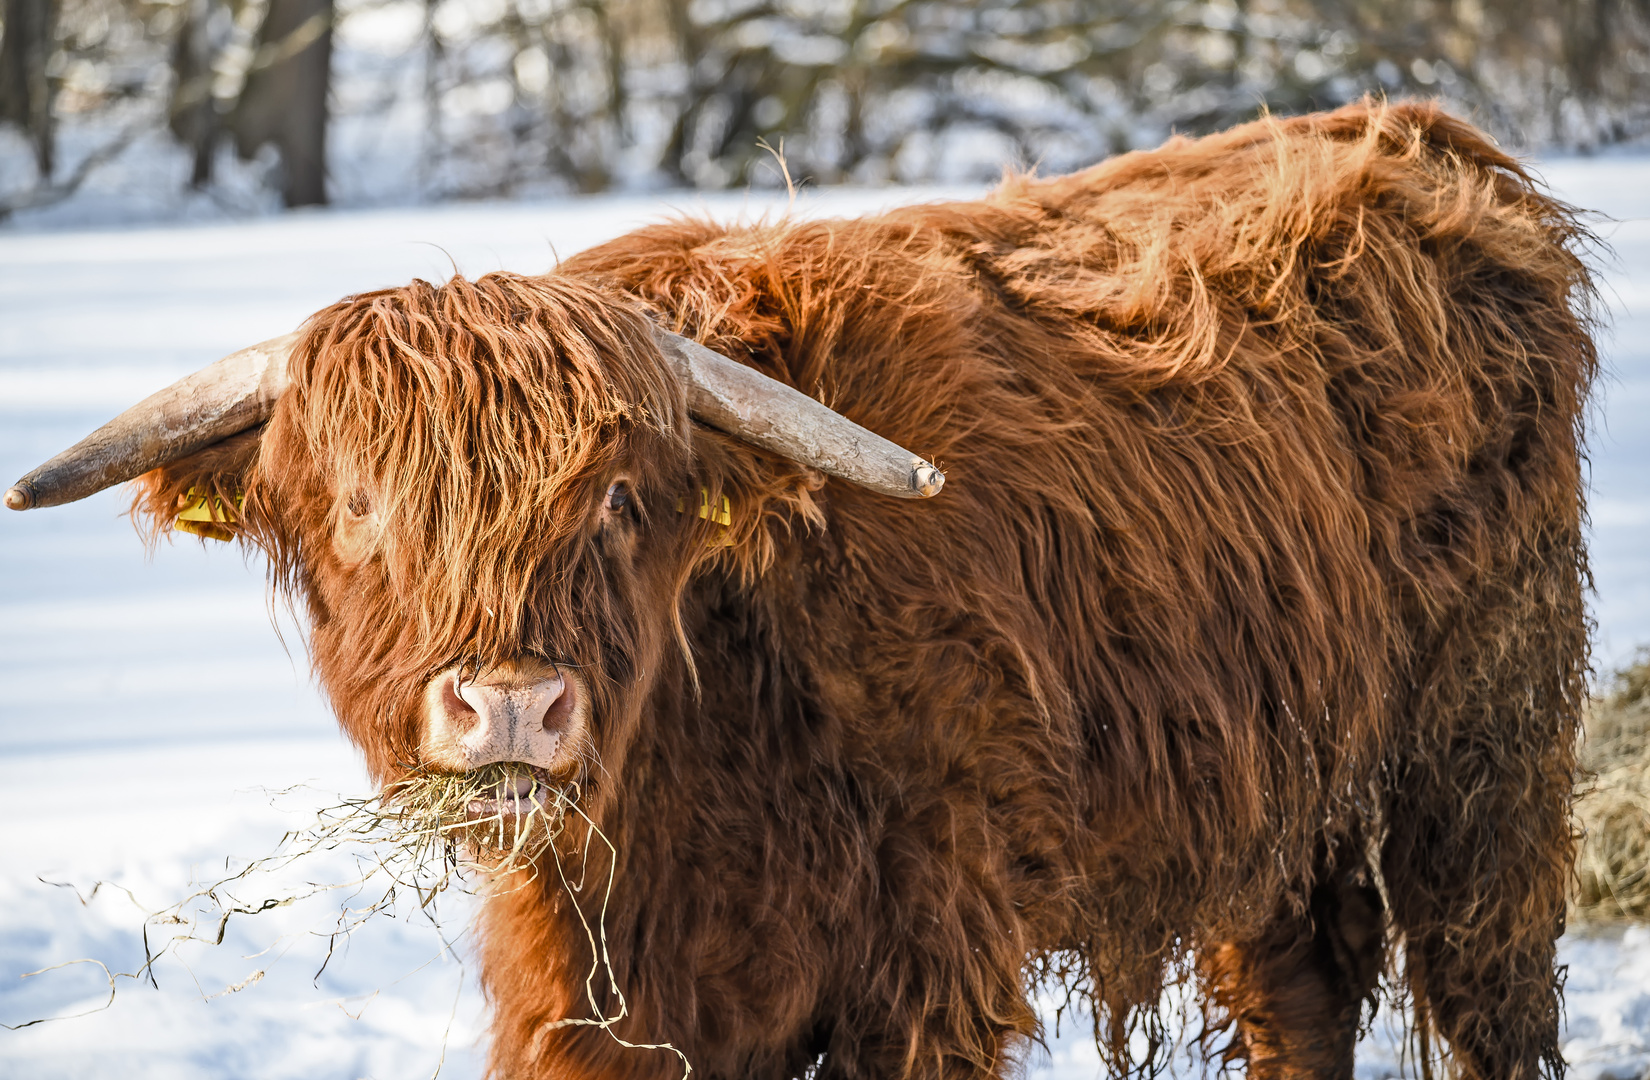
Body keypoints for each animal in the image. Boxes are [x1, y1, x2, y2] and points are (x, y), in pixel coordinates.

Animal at [3, 103, 1597, 1080]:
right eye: (356, 504)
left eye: (621, 500)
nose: (510, 709)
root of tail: (1415, 139)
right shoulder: (604, 1005)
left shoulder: (928, 965)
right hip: (1278, 791)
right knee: (1299, 993)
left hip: (1481, 759)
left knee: (1490, 987)